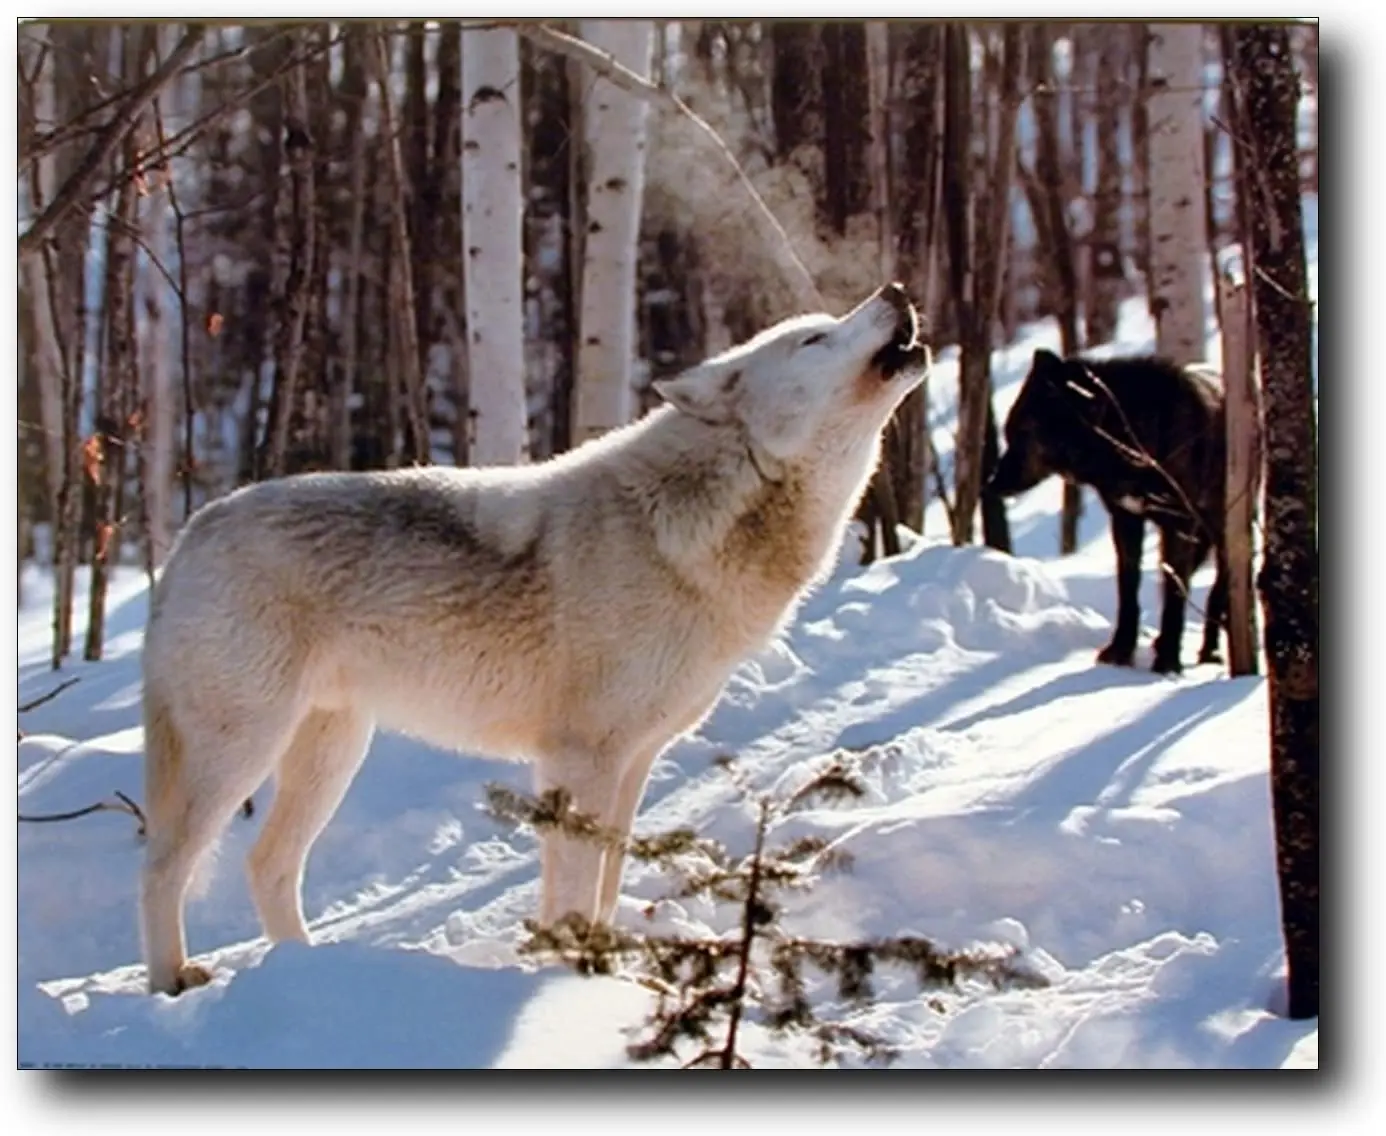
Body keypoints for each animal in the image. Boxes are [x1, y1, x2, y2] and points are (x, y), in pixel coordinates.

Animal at [137, 281, 931, 991]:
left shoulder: (632, 764)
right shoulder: (581, 758)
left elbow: (602, 886)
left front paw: (600, 973)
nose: (896, 288)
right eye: (815, 339)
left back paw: (304, 975)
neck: (696, 525)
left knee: (266, 864)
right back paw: (174, 982)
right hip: (244, 750)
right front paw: (573, 982)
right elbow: (577, 890)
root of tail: (193, 531)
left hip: (331, 753)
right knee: (165, 863)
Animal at [992, 347, 1230, 673]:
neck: (1132, 438)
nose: (991, 485)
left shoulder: (1178, 525)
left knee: (1217, 588)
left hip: (1222, 531)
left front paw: (1168, 661)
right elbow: (1128, 590)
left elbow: (1174, 593)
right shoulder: (1125, 520)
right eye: (1008, 432)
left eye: (1024, 432)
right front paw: (1120, 651)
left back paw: (1210, 651)